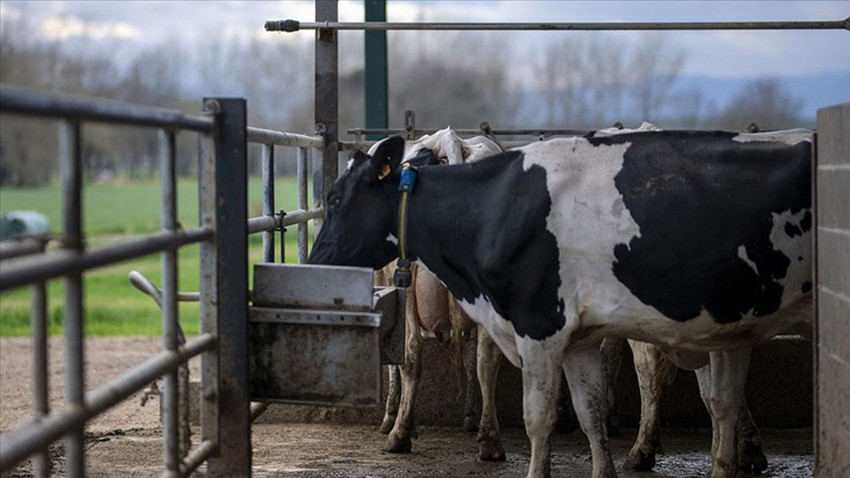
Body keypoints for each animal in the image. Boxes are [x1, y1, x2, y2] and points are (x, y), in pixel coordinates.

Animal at [308, 129, 812, 476]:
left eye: (333, 198)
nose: (314, 264)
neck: (493, 206)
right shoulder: (578, 340)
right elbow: (591, 415)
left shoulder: (539, 327)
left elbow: (538, 417)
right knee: (719, 402)